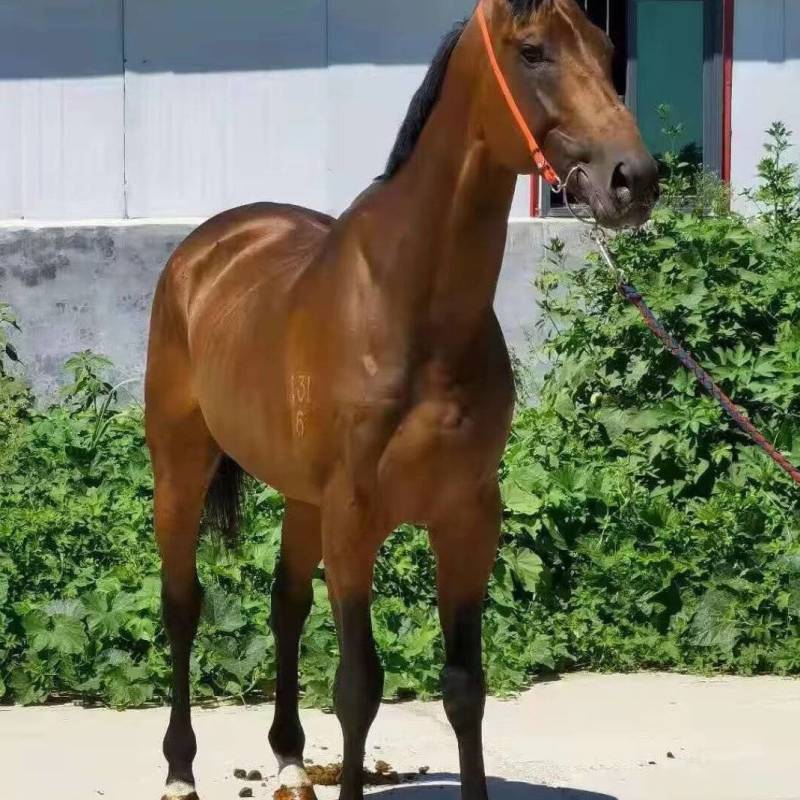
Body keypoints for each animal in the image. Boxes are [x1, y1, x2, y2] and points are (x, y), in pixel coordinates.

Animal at [144, 2, 658, 799]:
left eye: (607, 50)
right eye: (532, 52)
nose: (633, 179)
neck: (410, 311)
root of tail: (204, 251)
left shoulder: (468, 519)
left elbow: (464, 686)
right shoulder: (355, 520)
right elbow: (358, 686)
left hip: (303, 498)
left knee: (286, 606)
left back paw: (291, 761)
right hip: (181, 466)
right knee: (182, 605)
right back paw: (179, 771)